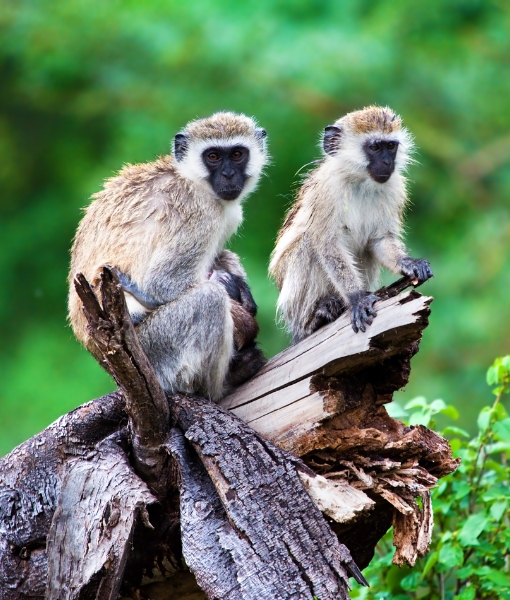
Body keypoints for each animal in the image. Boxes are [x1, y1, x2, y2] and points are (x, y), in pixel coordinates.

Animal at [69, 112, 268, 404]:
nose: (229, 175)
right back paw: (221, 386)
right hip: (155, 350)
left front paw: (242, 291)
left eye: (237, 154)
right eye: (213, 157)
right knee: (208, 299)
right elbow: (163, 284)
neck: (192, 179)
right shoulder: (200, 214)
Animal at [268, 105, 432, 344]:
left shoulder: (395, 188)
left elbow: (380, 240)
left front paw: (408, 263)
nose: (387, 163)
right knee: (308, 245)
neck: (361, 182)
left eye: (390, 146)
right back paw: (315, 318)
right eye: (374, 147)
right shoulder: (327, 190)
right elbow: (327, 245)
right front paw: (357, 298)